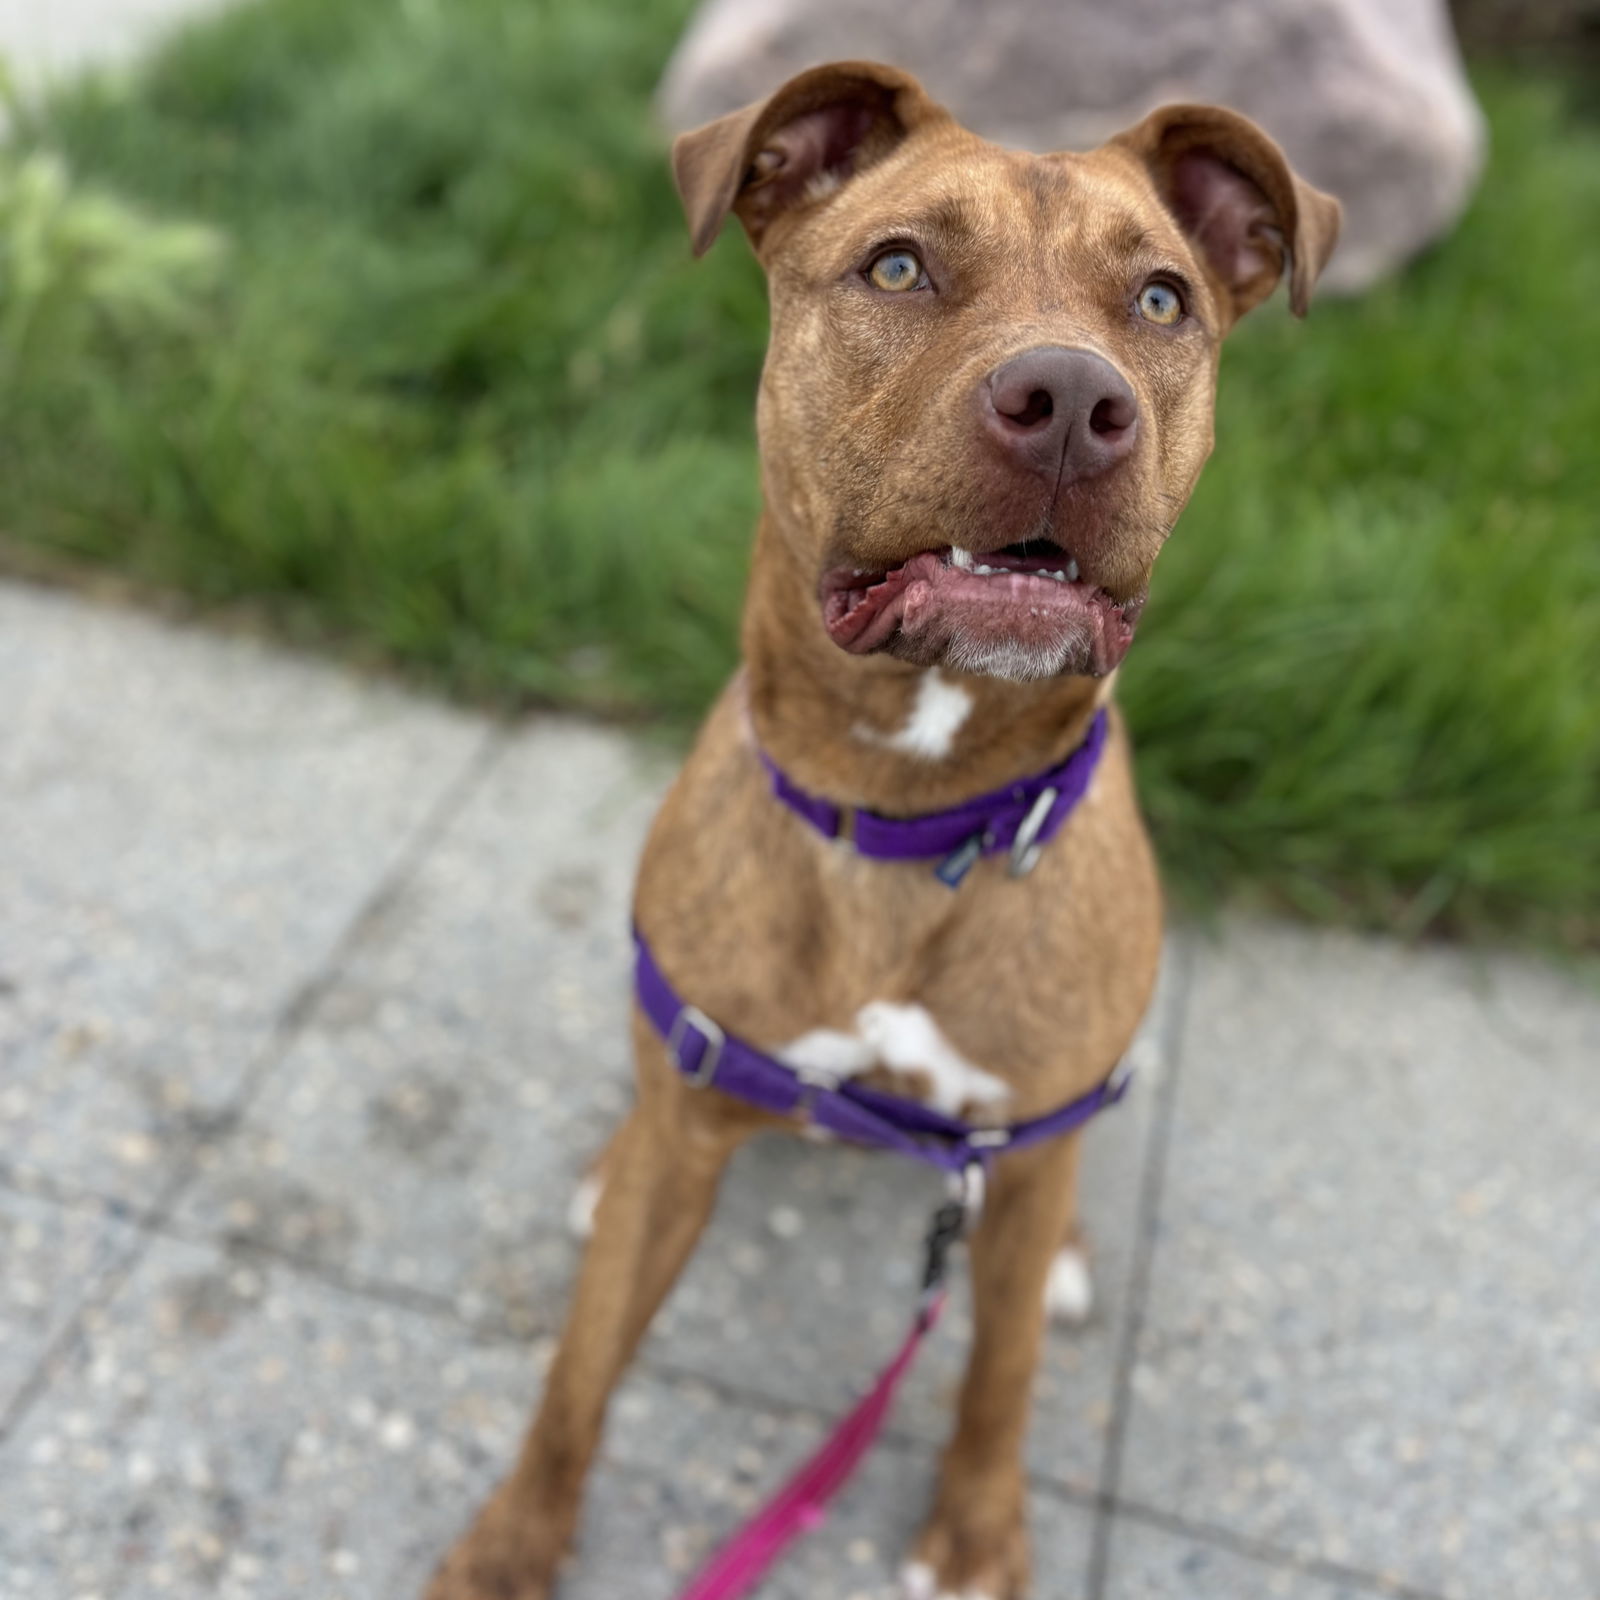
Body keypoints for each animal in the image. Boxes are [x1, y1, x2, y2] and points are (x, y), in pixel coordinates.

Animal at [428, 56, 1337, 1600]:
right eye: (900, 266)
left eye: (1160, 300)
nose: (1071, 397)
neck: (915, 815)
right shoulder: (692, 1105)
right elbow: (579, 1369)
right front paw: (510, 1548)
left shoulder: (1016, 1152)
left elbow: (1000, 1367)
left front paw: (975, 1530)